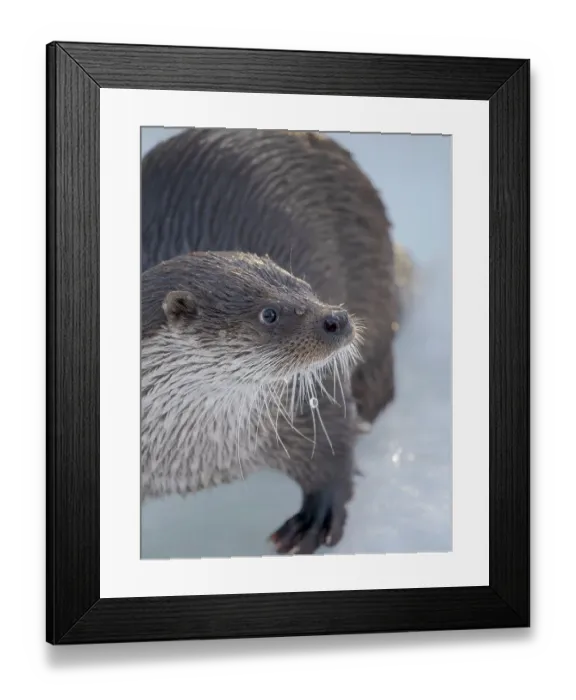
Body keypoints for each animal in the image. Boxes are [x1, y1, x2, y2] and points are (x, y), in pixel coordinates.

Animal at [140, 128, 410, 555]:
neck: (195, 459)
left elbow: (333, 445)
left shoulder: (307, 397)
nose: (337, 318)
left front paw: (317, 516)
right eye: (269, 314)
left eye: (307, 287)